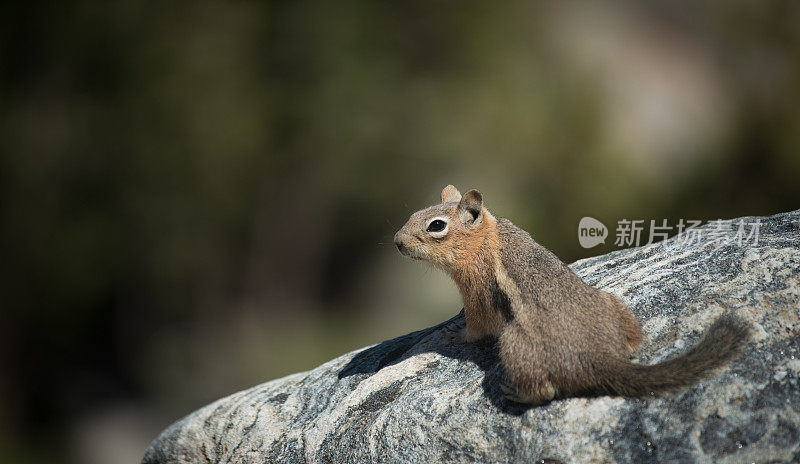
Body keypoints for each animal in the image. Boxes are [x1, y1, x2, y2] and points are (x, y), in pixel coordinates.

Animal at [394, 187, 752, 404]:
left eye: (436, 225)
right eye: (412, 214)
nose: (397, 242)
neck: (484, 237)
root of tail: (600, 356)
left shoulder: (476, 290)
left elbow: (476, 327)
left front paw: (455, 334)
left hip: (515, 344)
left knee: (545, 390)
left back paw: (515, 393)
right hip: (612, 303)